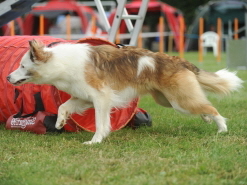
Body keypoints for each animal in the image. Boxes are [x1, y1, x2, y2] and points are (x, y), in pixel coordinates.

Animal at [6, 40, 244, 145]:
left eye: (23, 66)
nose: (7, 78)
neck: (61, 63)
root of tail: (178, 60)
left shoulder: (101, 97)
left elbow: (101, 123)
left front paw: (96, 141)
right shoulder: (84, 96)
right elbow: (64, 106)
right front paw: (59, 122)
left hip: (179, 102)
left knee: (212, 108)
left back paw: (221, 129)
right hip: (168, 100)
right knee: (203, 106)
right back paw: (207, 119)